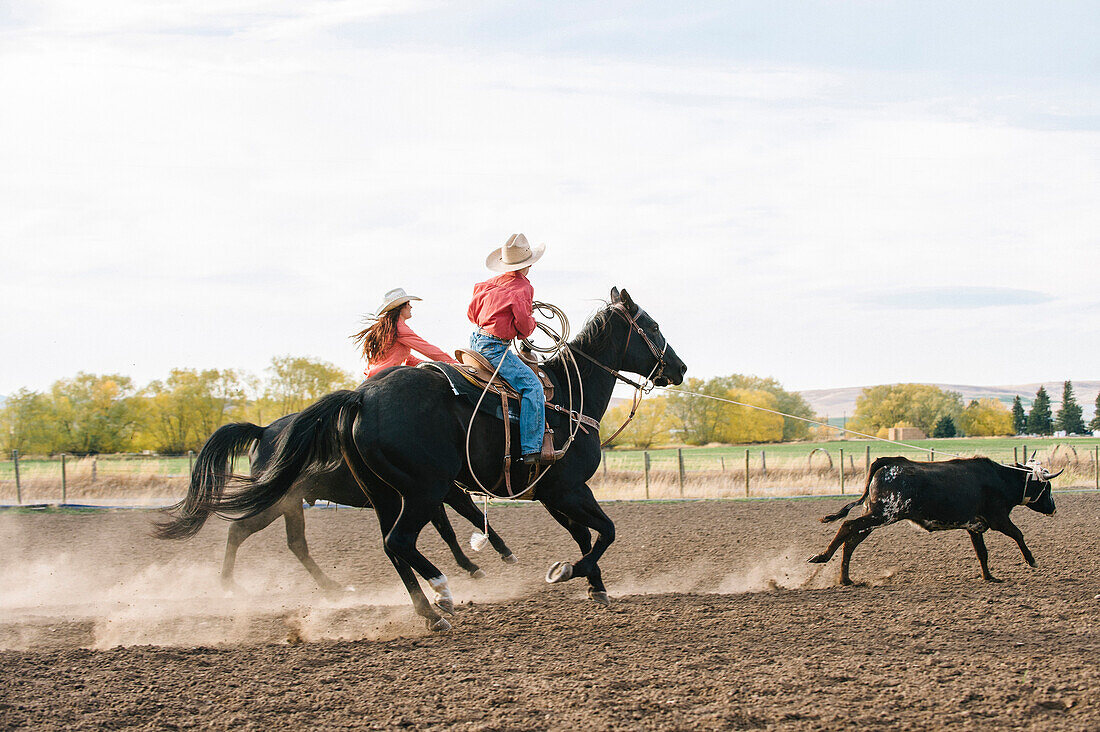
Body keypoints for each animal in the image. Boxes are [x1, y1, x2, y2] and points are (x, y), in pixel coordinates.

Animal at [152, 413, 517, 590]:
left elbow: (448, 530)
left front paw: (471, 565)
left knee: (295, 544)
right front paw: (496, 555)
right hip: (276, 504)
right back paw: (229, 585)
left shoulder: (431, 495)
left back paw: (331, 587)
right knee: (240, 531)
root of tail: (265, 430)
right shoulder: (439, 491)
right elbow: (466, 517)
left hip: (289, 505)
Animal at [200, 288, 677, 629]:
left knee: (385, 547)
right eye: (652, 326)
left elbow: (583, 534)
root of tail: (360, 400)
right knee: (386, 542)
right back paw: (439, 594)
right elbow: (605, 532)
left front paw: (594, 586)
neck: (567, 397)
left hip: (386, 495)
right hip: (410, 491)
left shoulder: (550, 494)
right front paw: (566, 572)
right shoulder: (568, 489)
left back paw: (426, 610)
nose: (681, 368)